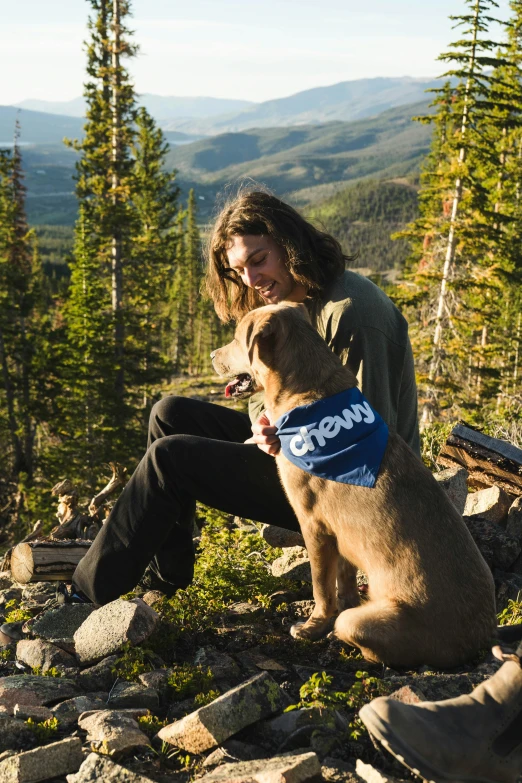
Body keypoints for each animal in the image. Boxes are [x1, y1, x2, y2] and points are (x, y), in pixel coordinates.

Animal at [209, 302, 494, 668]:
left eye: (234, 338)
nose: (212, 354)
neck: (307, 394)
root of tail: (480, 641)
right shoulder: (340, 532)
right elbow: (343, 583)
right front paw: (333, 610)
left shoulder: (313, 525)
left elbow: (321, 587)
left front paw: (313, 626)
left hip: (368, 623)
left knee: (362, 638)